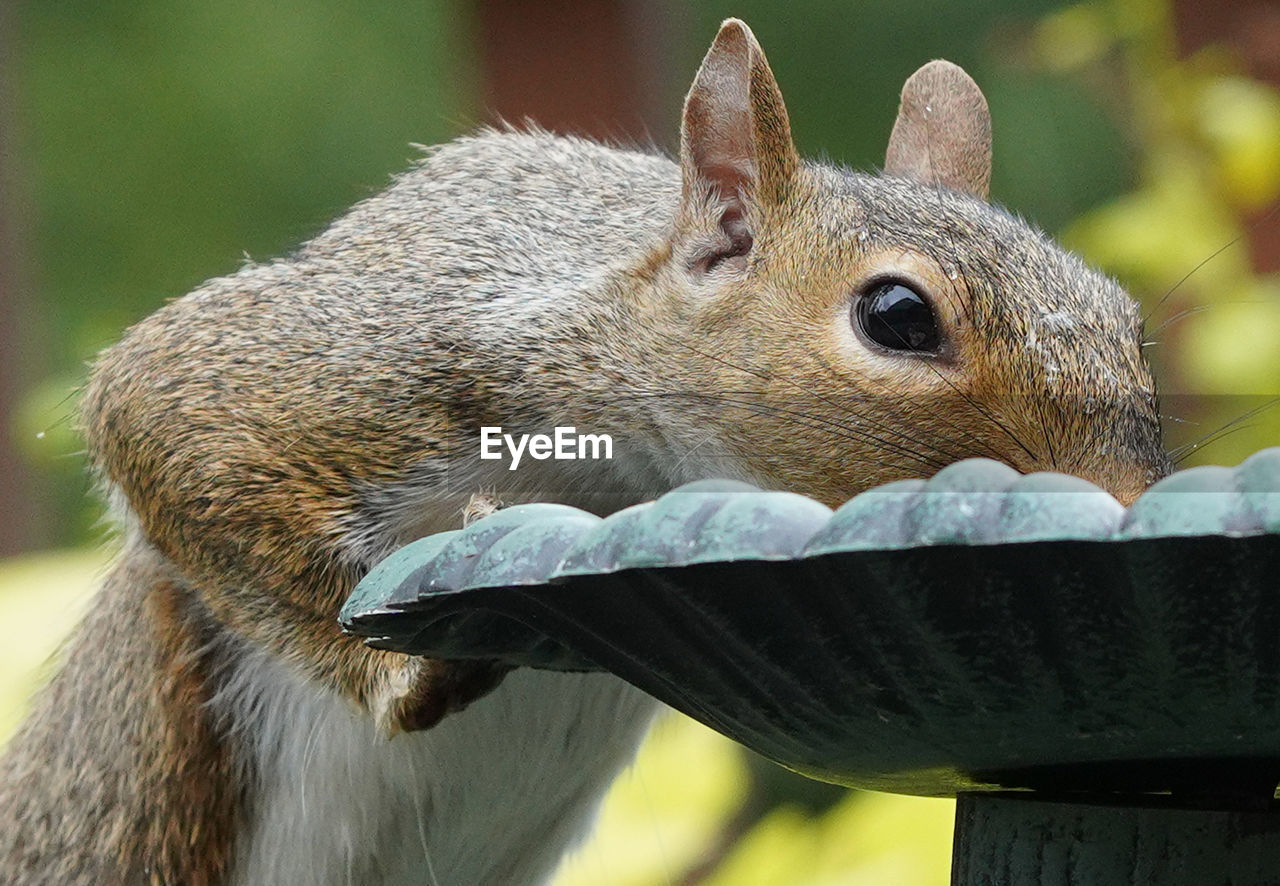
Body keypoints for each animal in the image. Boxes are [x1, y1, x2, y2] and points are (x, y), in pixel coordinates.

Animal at [0, 15, 1172, 886]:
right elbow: (163, 407)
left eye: (1124, 316)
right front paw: (406, 676)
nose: (1122, 499)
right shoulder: (427, 358)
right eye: (896, 316)